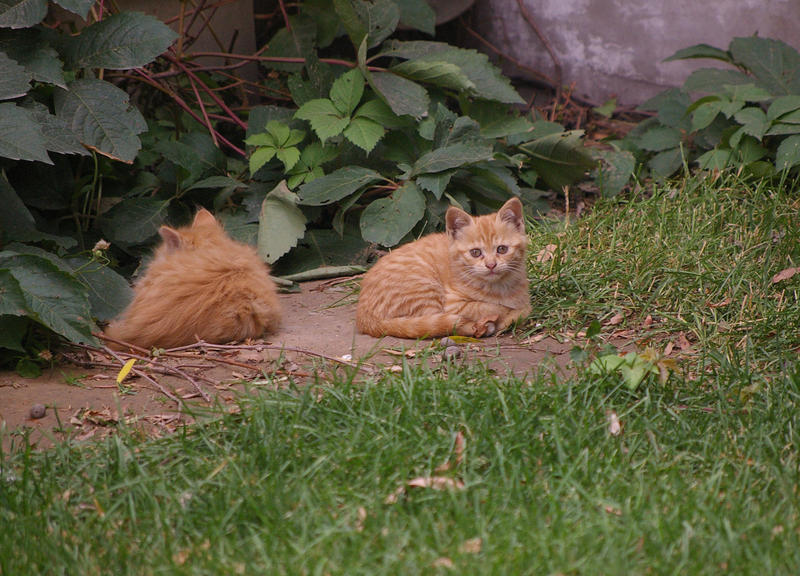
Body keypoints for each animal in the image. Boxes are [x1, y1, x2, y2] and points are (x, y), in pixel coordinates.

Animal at [356, 196, 532, 340]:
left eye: (502, 249)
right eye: (475, 252)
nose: (491, 265)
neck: (500, 287)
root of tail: (364, 318)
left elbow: (522, 309)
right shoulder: (453, 304)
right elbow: (490, 307)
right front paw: (501, 315)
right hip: (425, 289)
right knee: (437, 325)